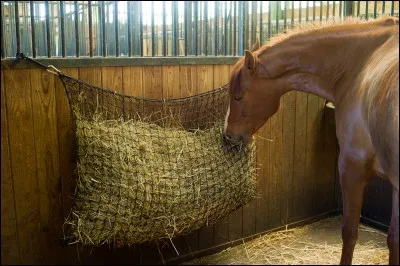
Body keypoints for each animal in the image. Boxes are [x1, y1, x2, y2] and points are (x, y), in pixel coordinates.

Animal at [223, 16, 398, 264]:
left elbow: (349, 232)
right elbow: (393, 241)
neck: (359, 64)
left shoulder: (351, 167)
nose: (228, 135)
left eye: (238, 97)